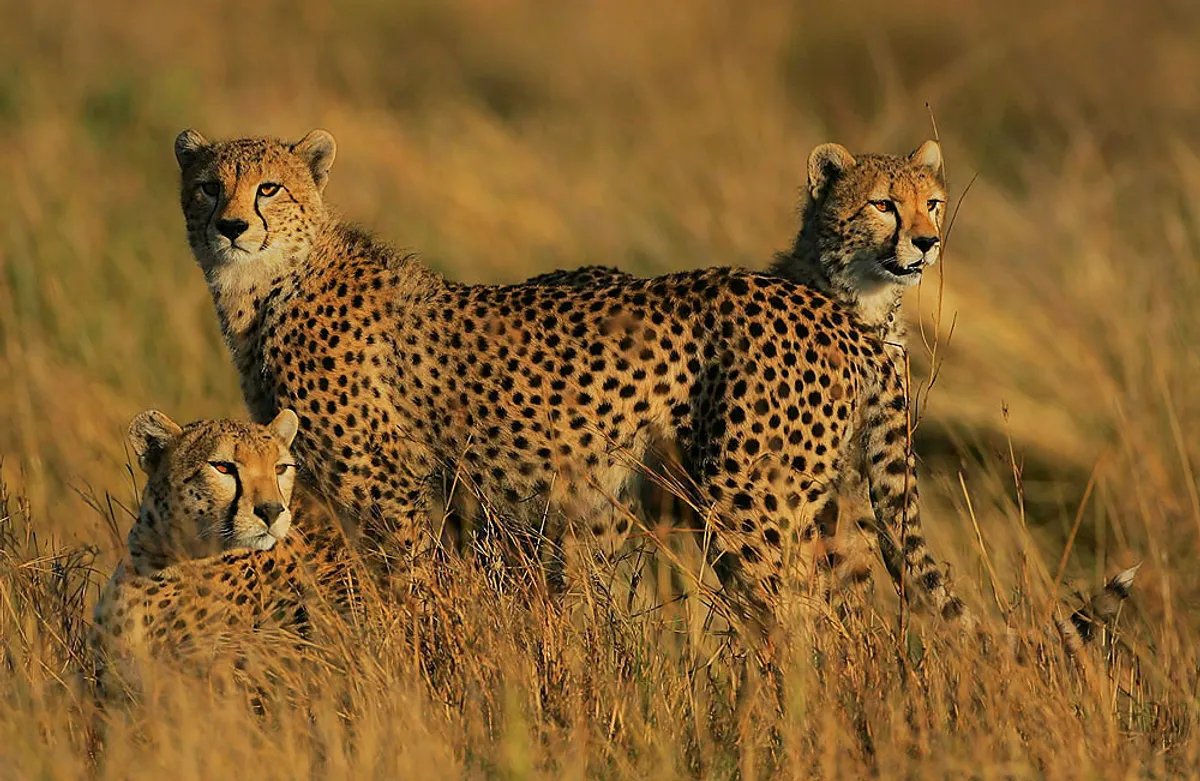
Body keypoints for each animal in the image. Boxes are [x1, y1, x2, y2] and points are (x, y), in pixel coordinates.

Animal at [173, 127, 970, 636]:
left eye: (269, 187)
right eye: (208, 186)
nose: (232, 226)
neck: (271, 284)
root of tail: (839, 318)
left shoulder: (390, 492)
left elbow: (410, 595)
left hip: (750, 505)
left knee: (807, 625)